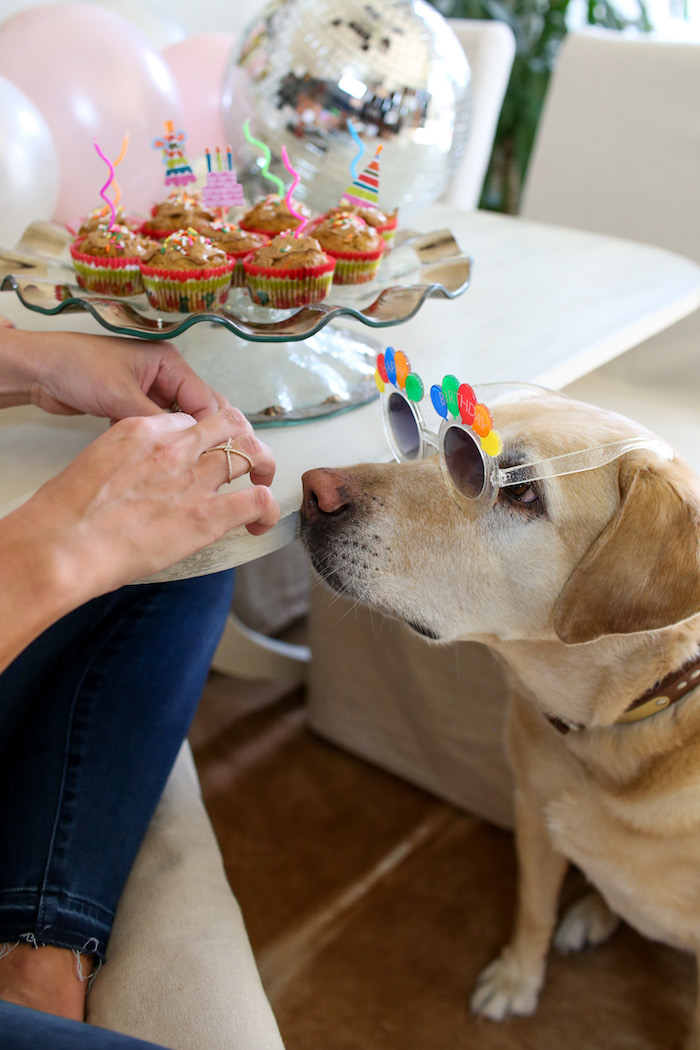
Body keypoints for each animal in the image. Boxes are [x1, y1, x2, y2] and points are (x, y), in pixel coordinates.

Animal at [302, 388, 700, 1050]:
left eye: (523, 494)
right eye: (441, 441)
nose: (313, 491)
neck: (606, 730)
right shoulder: (532, 812)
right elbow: (532, 906)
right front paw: (518, 978)